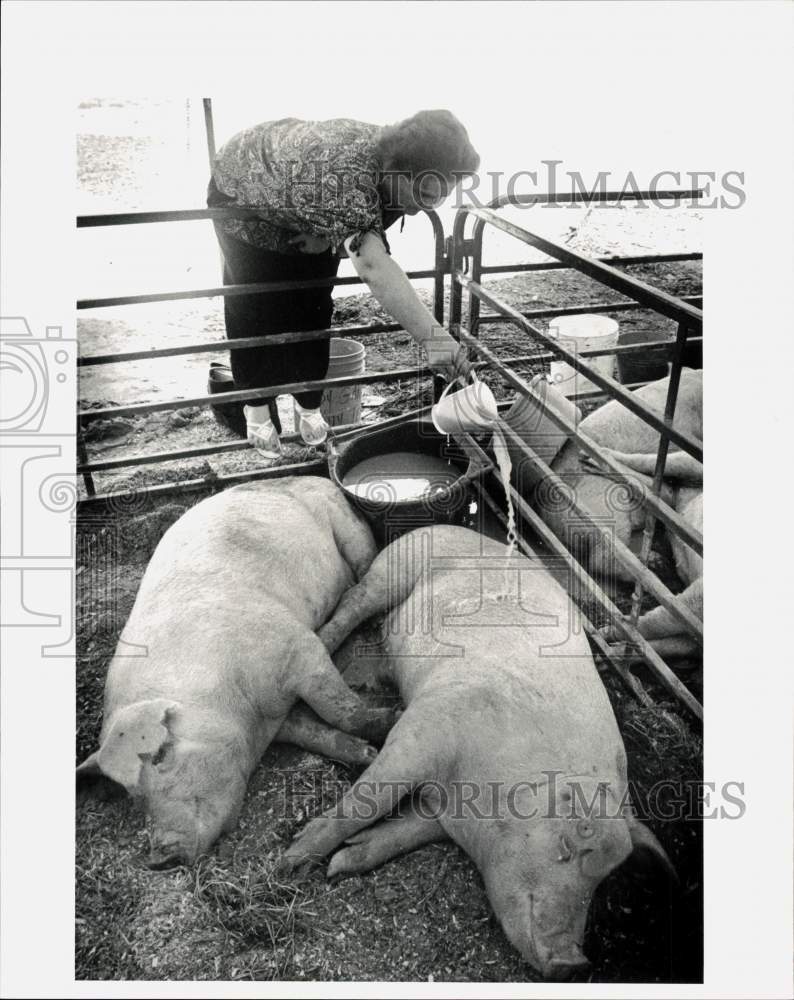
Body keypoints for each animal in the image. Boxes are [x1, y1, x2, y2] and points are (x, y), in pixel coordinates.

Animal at [77, 476, 396, 868]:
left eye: (161, 755)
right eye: (131, 793)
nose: (158, 857)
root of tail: (313, 478)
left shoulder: (297, 649)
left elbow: (339, 707)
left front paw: (389, 721)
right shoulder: (278, 717)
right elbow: (312, 731)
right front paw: (366, 754)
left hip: (349, 528)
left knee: (362, 578)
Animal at [282, 528, 672, 980]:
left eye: (605, 877)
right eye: (568, 846)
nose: (574, 962)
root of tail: (463, 531)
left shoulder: (445, 807)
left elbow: (407, 830)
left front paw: (343, 862)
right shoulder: (425, 728)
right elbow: (367, 801)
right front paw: (292, 860)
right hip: (392, 568)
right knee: (354, 600)